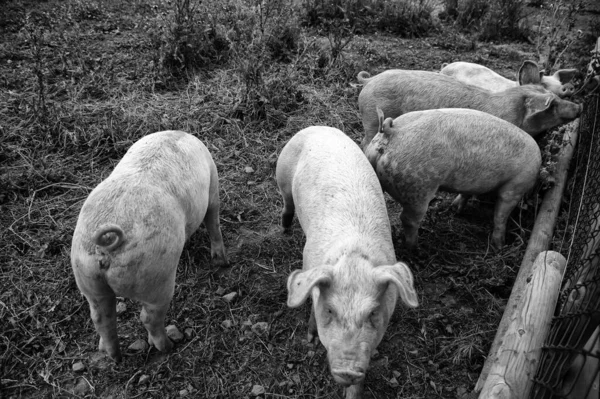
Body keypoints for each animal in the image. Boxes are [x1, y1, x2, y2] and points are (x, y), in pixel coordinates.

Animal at [70, 131, 229, 362]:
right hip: (156, 276)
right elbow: (213, 219)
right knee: (148, 317)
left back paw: (113, 355)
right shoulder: (213, 184)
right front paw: (223, 262)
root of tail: (107, 247)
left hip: (87, 277)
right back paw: (168, 346)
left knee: (101, 318)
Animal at [276, 126, 418, 398]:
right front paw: (310, 339)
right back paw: (285, 229)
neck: (354, 257)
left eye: (373, 312)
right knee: (287, 202)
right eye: (330, 310)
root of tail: (317, 127)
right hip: (283, 172)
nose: (348, 370)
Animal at [366, 108, 544, 250]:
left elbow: (466, 193)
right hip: (417, 187)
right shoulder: (515, 187)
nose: (503, 246)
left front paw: (455, 209)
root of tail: (392, 131)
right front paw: (500, 246)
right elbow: (500, 216)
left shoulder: (473, 183)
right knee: (408, 219)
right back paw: (415, 248)